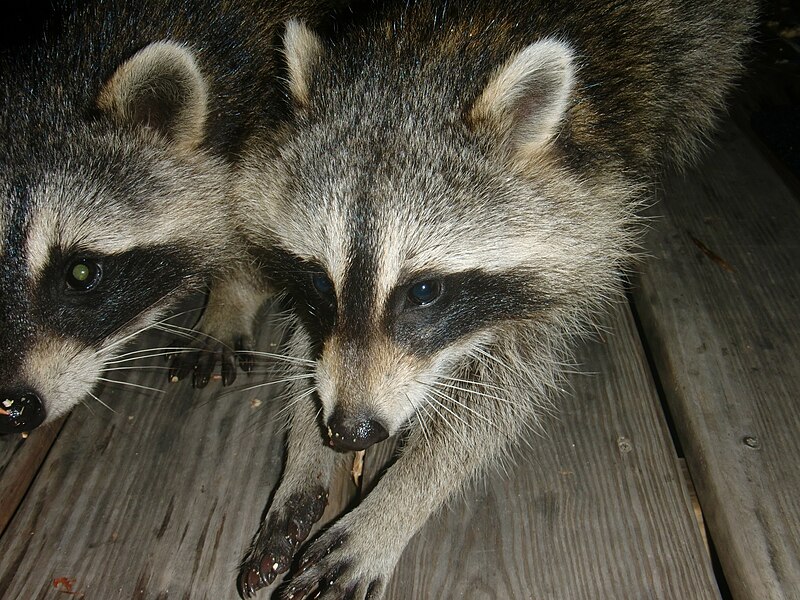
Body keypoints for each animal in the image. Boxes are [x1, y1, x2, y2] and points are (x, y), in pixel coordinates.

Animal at [231, 0, 756, 596]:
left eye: (424, 291)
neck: (427, 48)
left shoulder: (584, 229)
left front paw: (397, 503)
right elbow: (312, 344)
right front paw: (306, 449)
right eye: (321, 281)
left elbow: (497, 398)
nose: (349, 431)